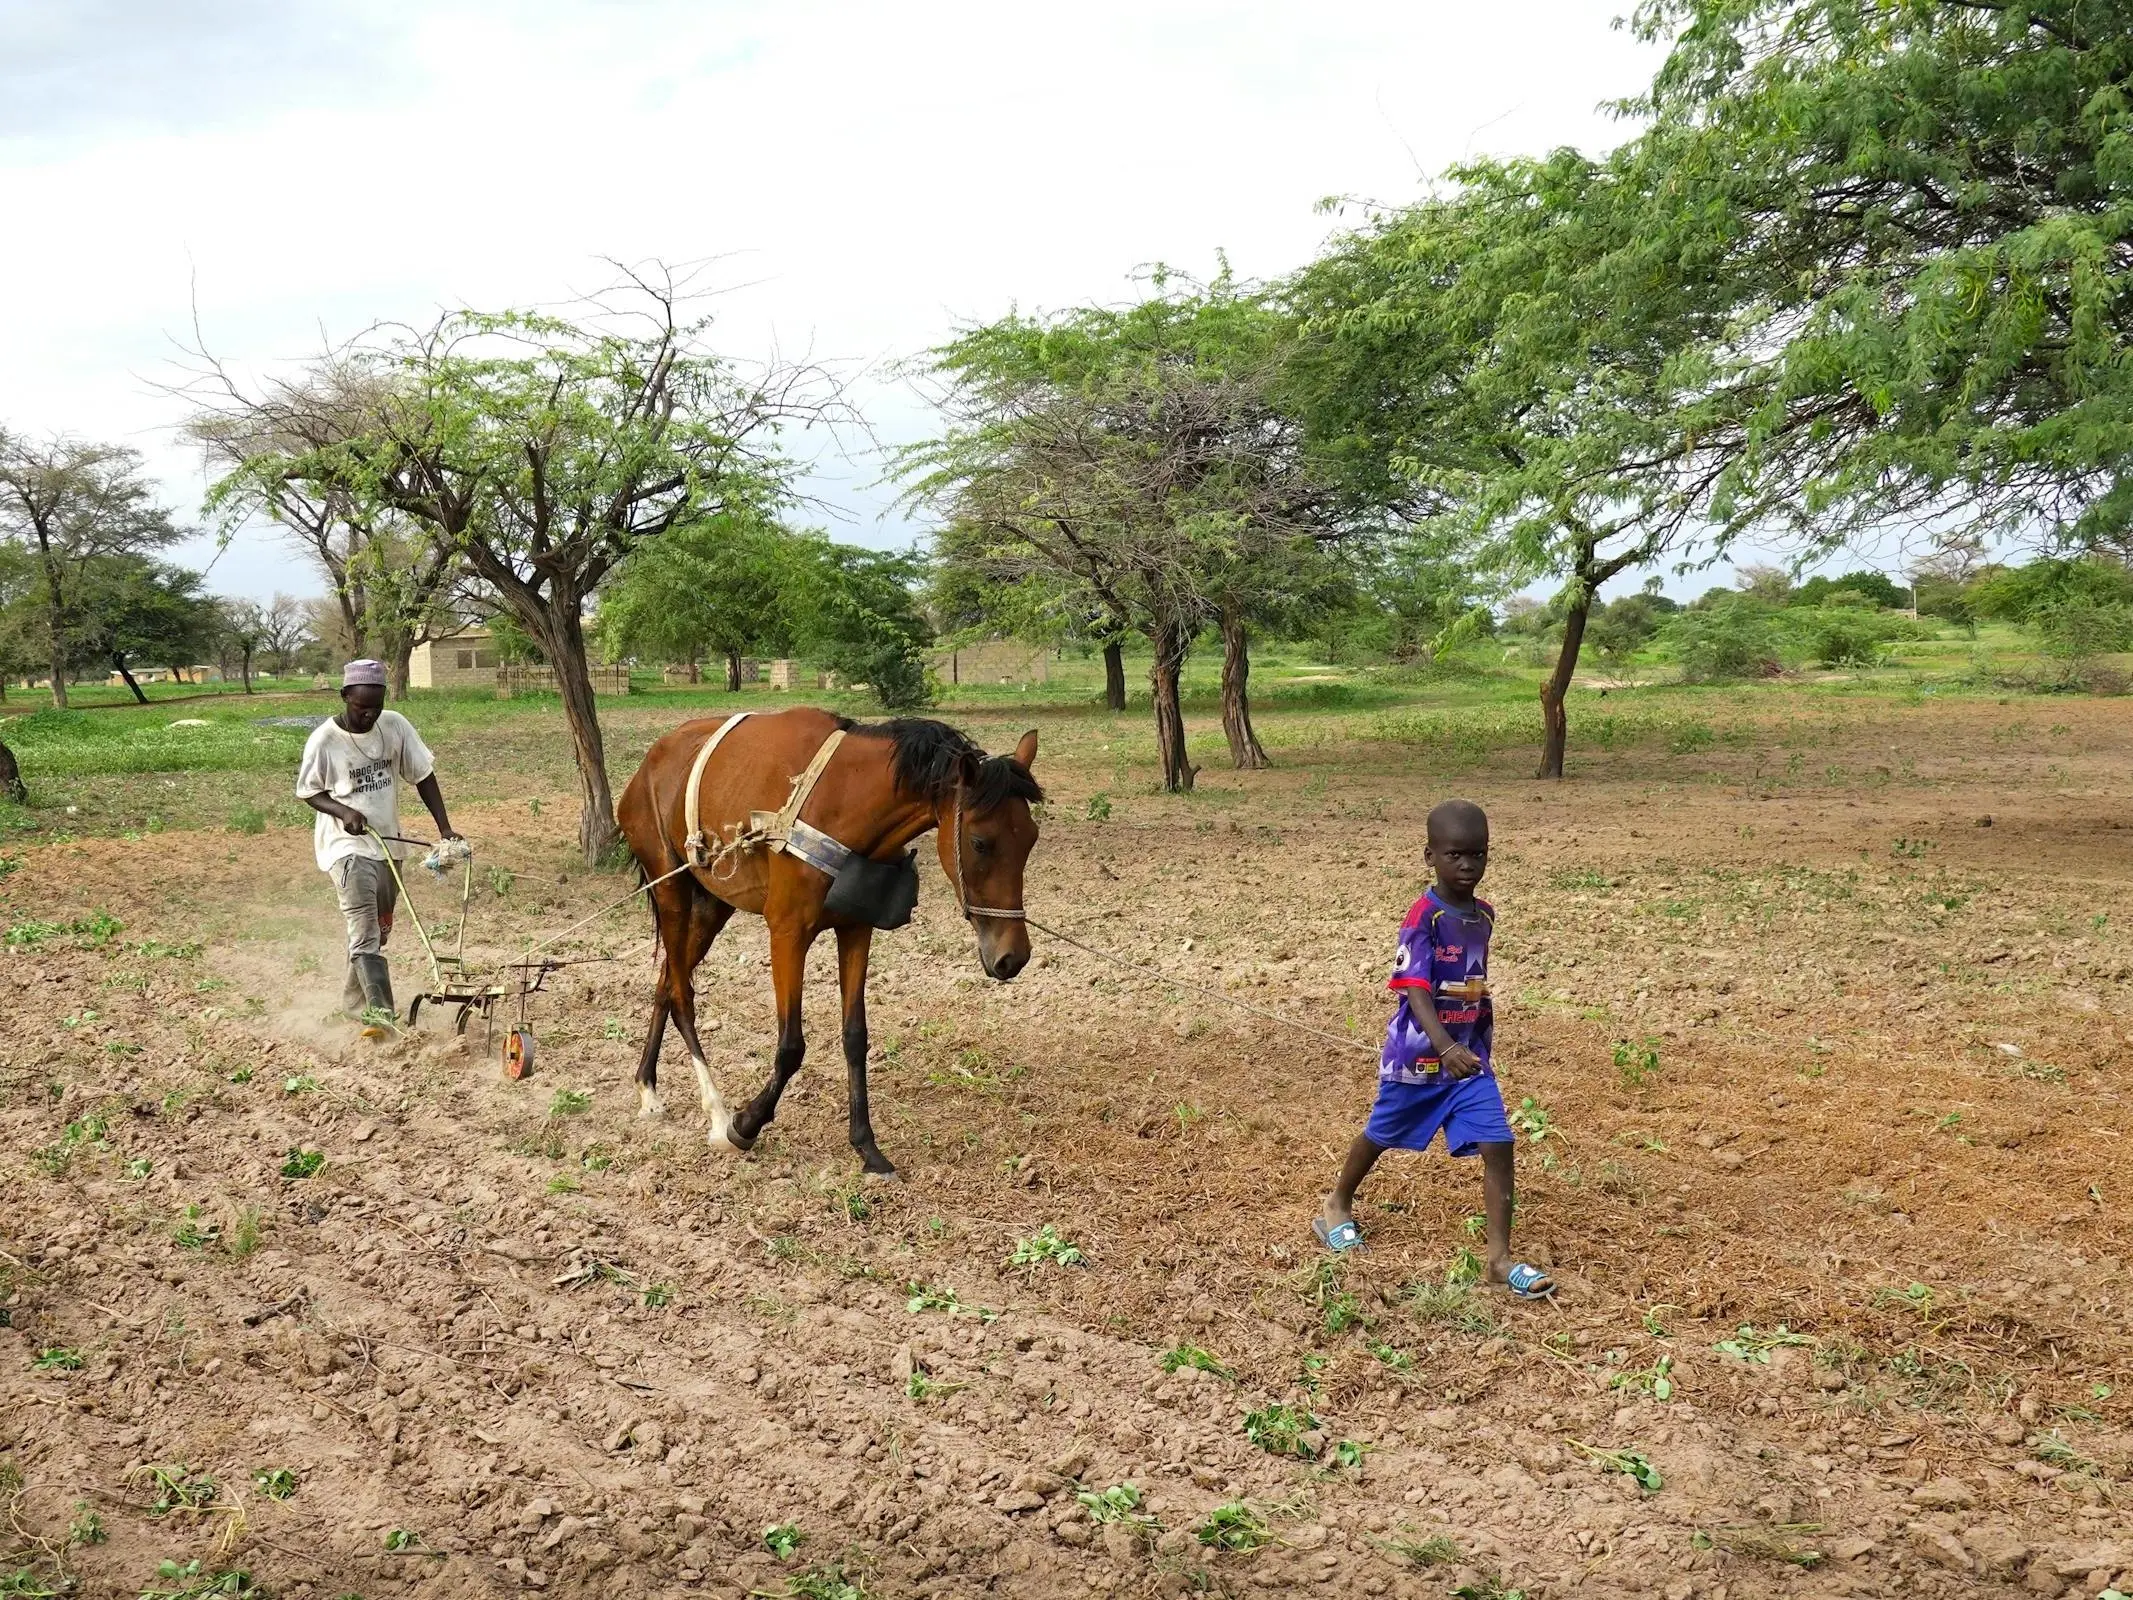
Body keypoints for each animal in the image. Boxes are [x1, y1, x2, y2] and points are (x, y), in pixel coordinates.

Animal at [617, 707, 1042, 1178]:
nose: (1013, 956)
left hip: (712, 903)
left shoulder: (855, 929)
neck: (843, 800)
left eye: (1031, 838)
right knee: (681, 995)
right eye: (981, 842)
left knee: (666, 984)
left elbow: (855, 1036)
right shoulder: (787, 933)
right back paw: (715, 1111)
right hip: (671, 891)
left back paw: (647, 1087)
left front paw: (866, 1145)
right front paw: (745, 1124)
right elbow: (791, 1046)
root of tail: (648, 764)